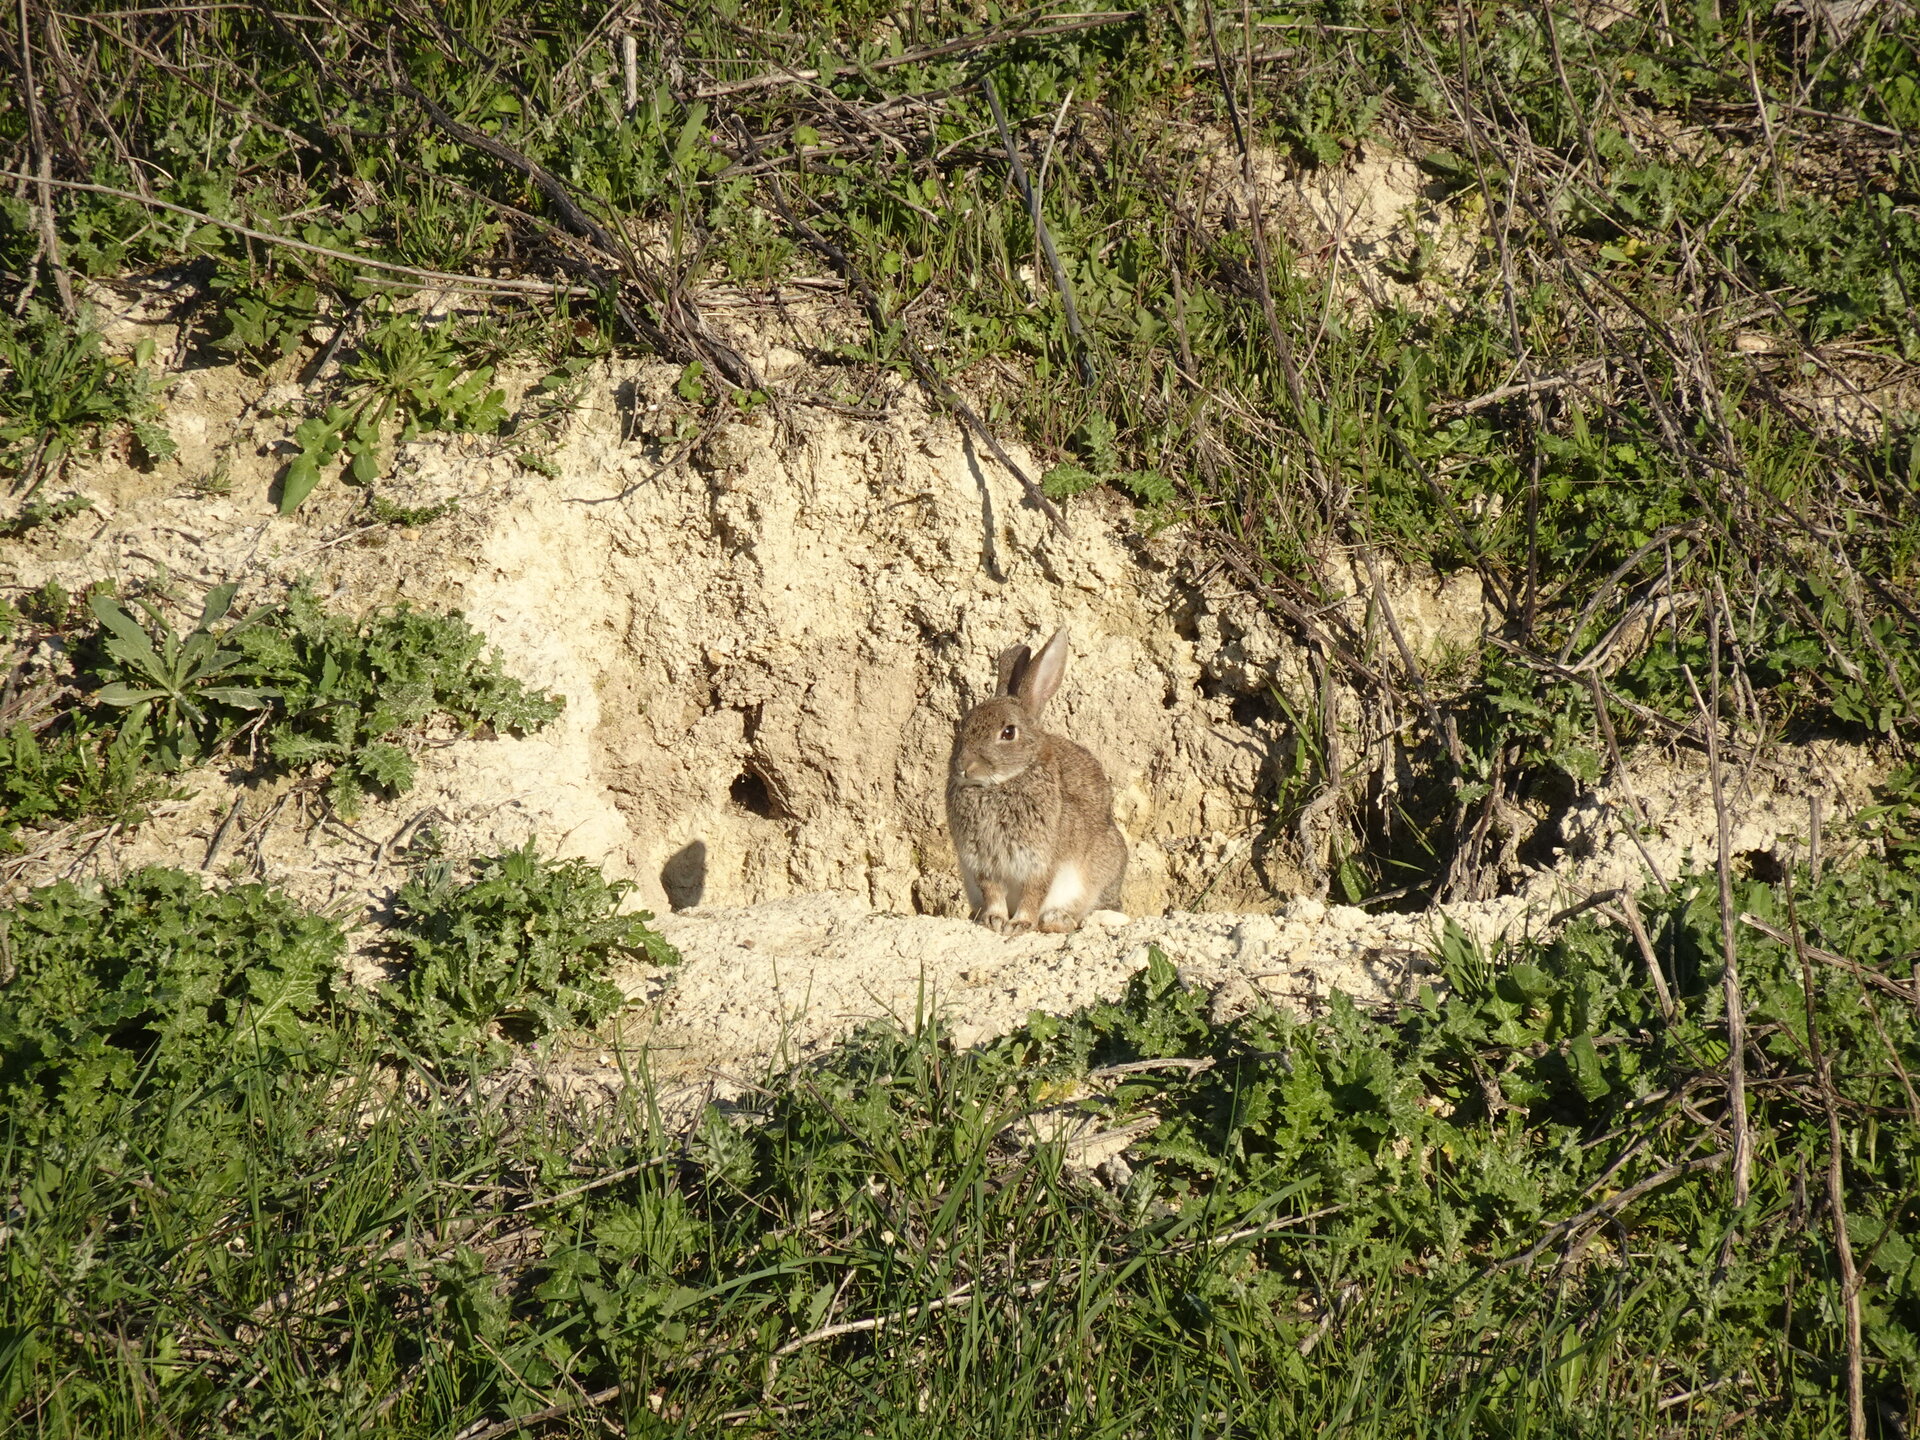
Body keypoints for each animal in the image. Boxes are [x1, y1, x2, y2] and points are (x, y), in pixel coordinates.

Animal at [946, 628, 1127, 934]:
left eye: (1008, 732)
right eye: (963, 724)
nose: (964, 767)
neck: (1000, 784)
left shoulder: (1040, 861)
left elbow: (1034, 893)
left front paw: (1019, 924)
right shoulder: (982, 864)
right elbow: (993, 893)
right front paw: (994, 920)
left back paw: (1057, 920)